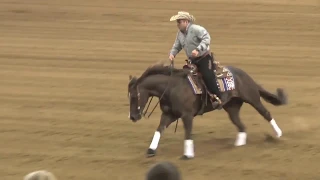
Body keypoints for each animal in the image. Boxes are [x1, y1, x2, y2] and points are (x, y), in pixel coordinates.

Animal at [127, 61, 288, 160]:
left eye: (134, 96)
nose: (133, 117)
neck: (172, 88)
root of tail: (246, 75)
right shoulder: (169, 114)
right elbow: (159, 129)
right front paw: (151, 150)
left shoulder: (187, 116)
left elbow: (188, 133)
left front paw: (187, 155)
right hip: (232, 108)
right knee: (241, 125)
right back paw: (239, 145)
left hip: (253, 98)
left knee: (266, 113)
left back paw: (278, 134)